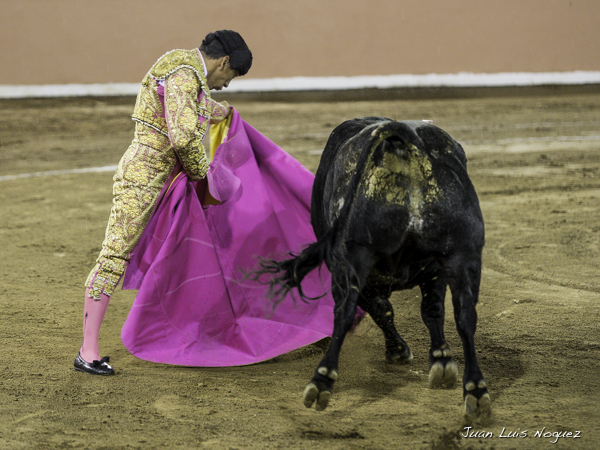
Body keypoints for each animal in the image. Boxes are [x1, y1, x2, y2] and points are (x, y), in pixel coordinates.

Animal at [255, 116, 490, 422]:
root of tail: (400, 135)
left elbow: (387, 310)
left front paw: (407, 352)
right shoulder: (435, 268)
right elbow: (427, 310)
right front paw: (438, 360)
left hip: (352, 258)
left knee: (344, 312)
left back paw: (321, 382)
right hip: (463, 252)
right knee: (465, 315)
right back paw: (475, 389)